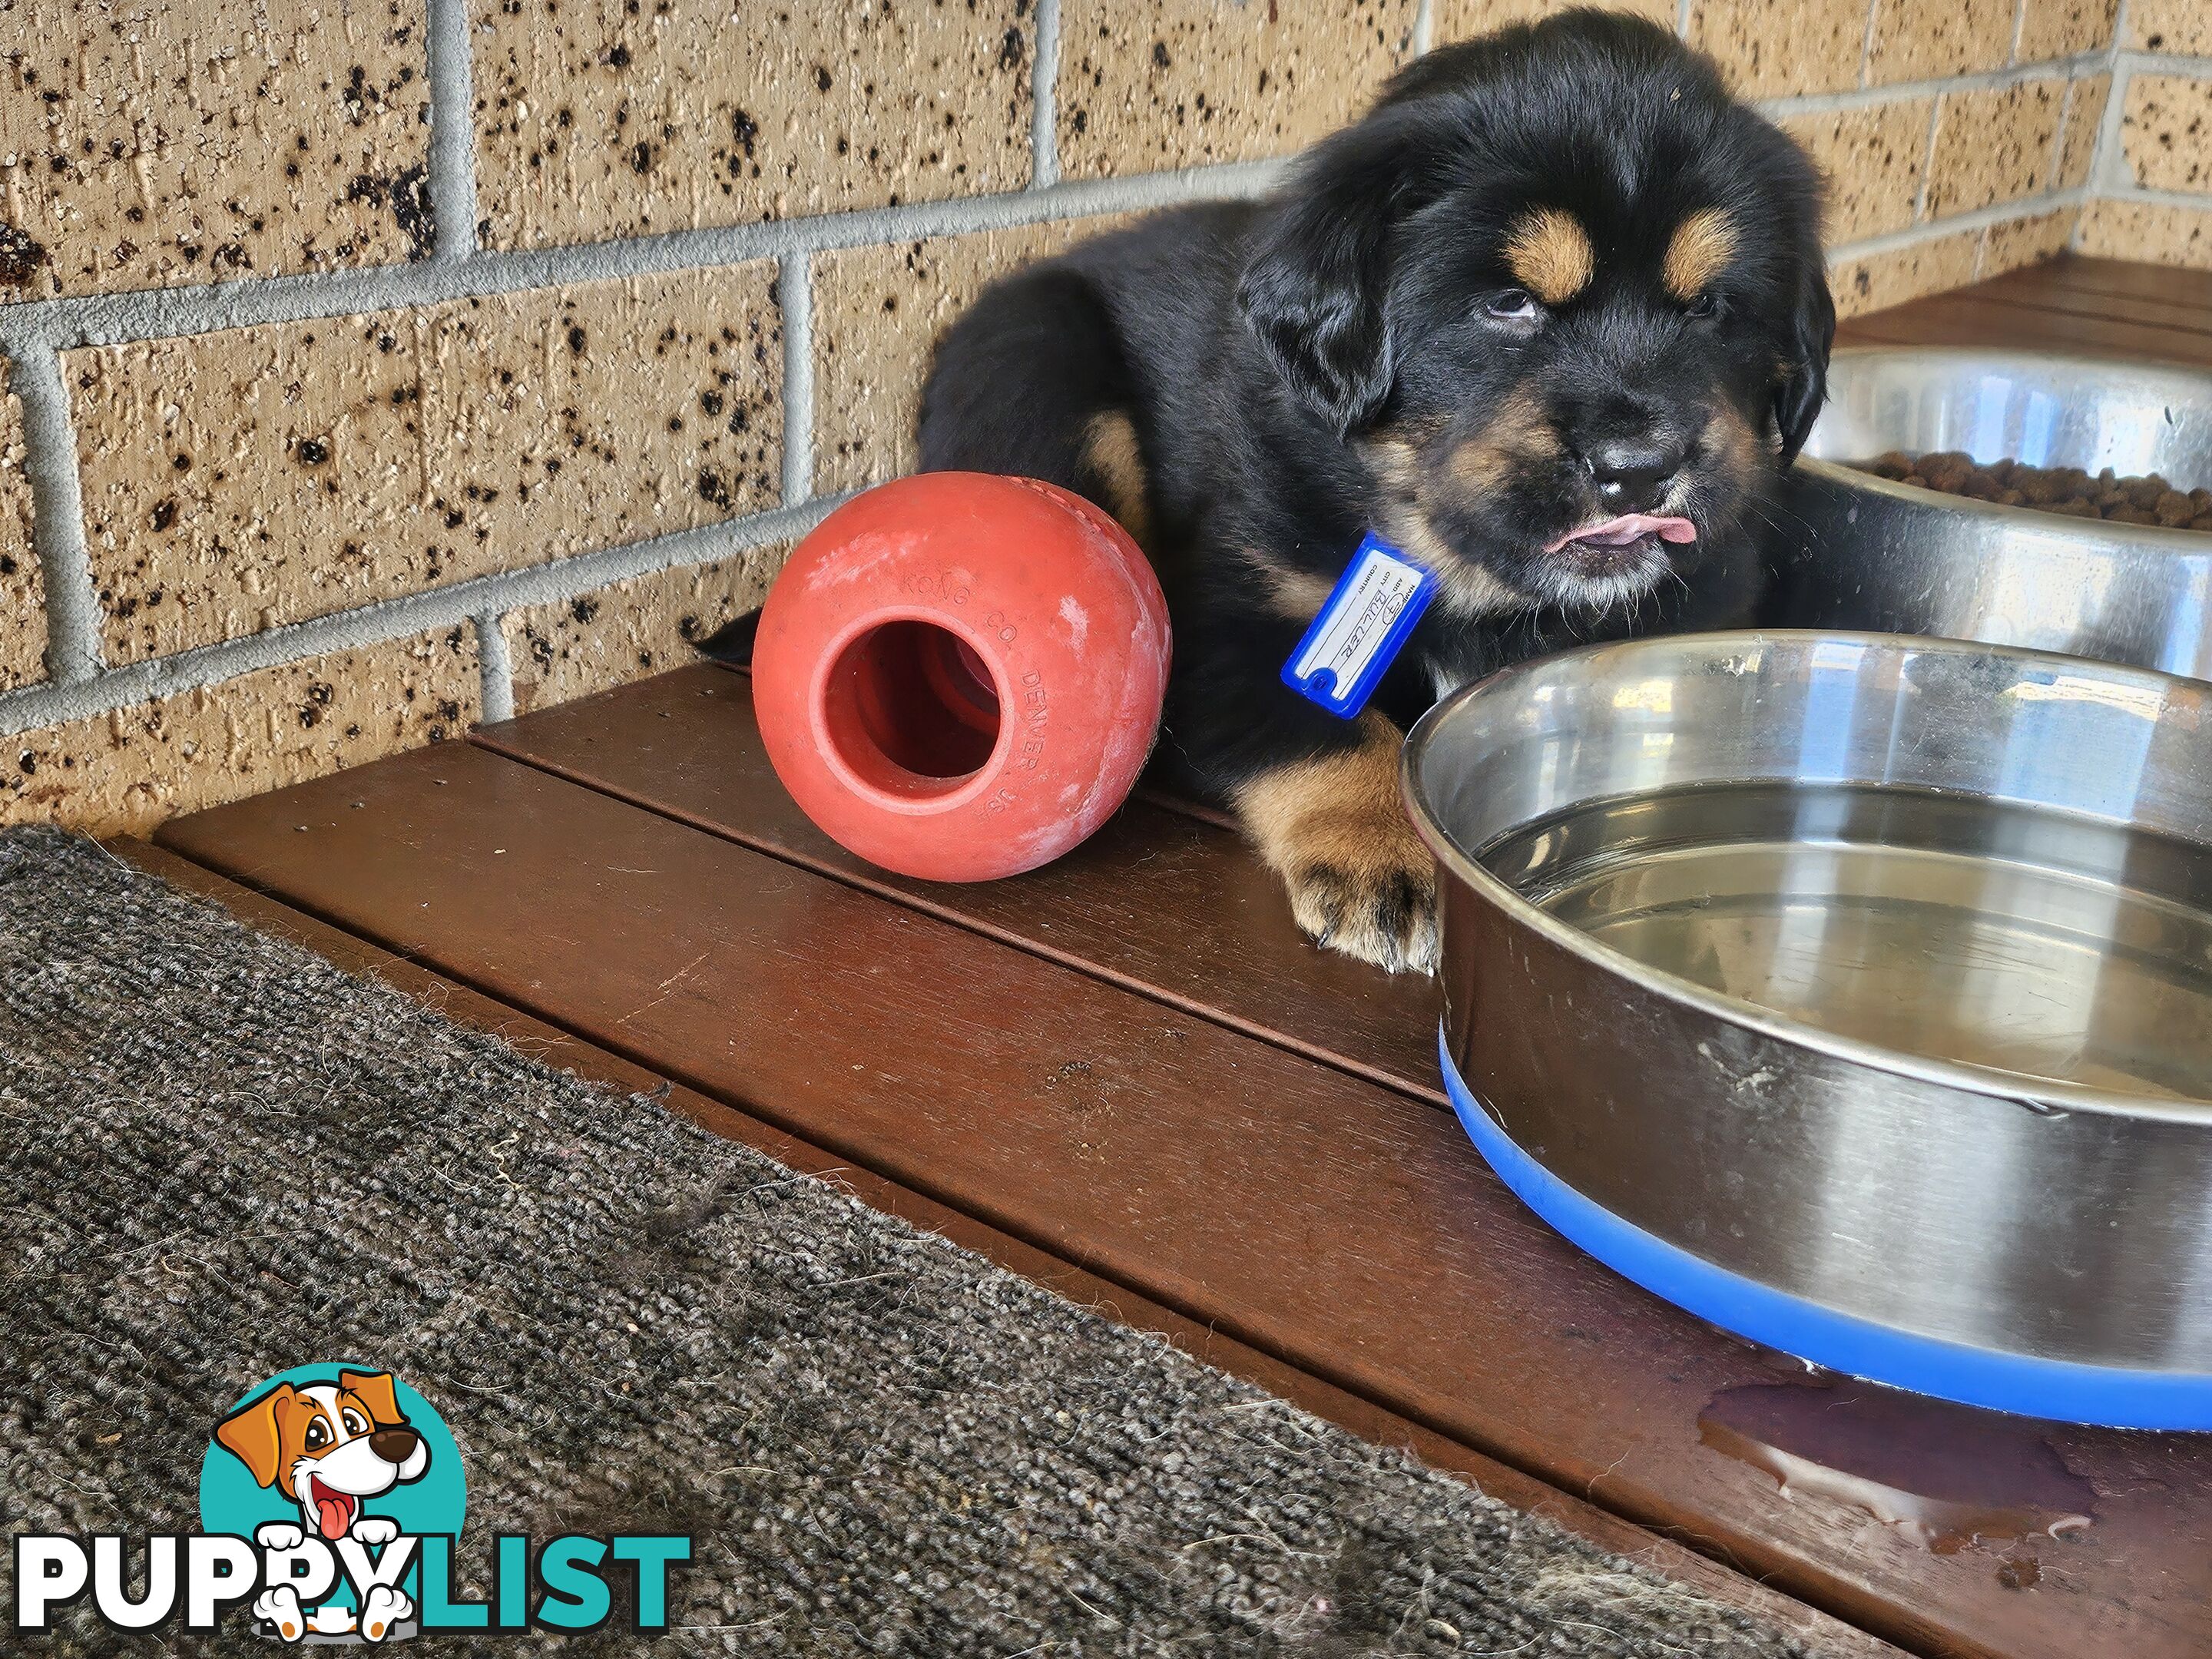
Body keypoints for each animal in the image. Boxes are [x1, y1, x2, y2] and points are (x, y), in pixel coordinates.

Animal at [916, 6, 1831, 973]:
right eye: (1508, 303)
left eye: (1710, 308)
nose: (1642, 465)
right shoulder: (1232, 614)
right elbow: (1333, 729)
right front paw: (1384, 859)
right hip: (1044, 370)